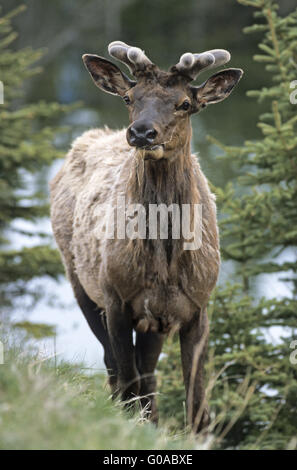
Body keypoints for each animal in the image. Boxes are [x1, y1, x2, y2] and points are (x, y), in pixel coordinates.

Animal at [49, 42, 242, 432]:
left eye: (185, 103)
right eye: (129, 97)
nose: (141, 133)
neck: (165, 264)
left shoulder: (198, 306)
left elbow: (197, 405)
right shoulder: (116, 298)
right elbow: (127, 381)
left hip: (154, 320)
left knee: (148, 374)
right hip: (80, 282)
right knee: (117, 369)